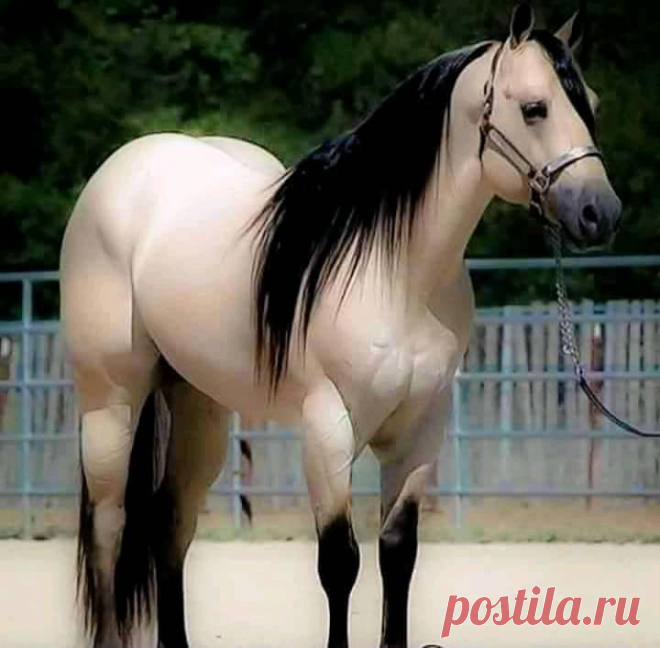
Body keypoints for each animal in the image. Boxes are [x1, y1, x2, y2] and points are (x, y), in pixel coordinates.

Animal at [59, 4, 621, 647]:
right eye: (535, 108)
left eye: (590, 104)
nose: (599, 213)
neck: (394, 269)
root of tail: (120, 175)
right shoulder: (328, 427)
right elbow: (339, 562)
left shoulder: (420, 430)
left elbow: (397, 553)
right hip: (110, 403)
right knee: (110, 526)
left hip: (200, 406)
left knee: (168, 520)